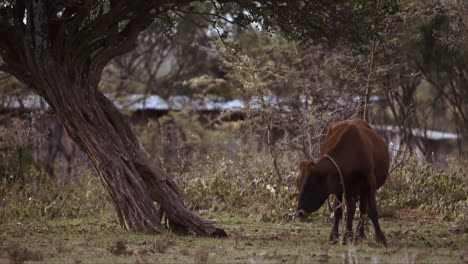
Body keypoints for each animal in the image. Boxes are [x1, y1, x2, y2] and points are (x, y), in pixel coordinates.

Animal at [296, 118, 392, 246]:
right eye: (298, 186)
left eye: (310, 185)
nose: (299, 212)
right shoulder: (339, 187)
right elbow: (339, 211)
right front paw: (336, 236)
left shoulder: (370, 182)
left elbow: (372, 211)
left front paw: (380, 238)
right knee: (353, 209)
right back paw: (353, 235)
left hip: (361, 189)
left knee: (361, 209)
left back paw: (359, 235)